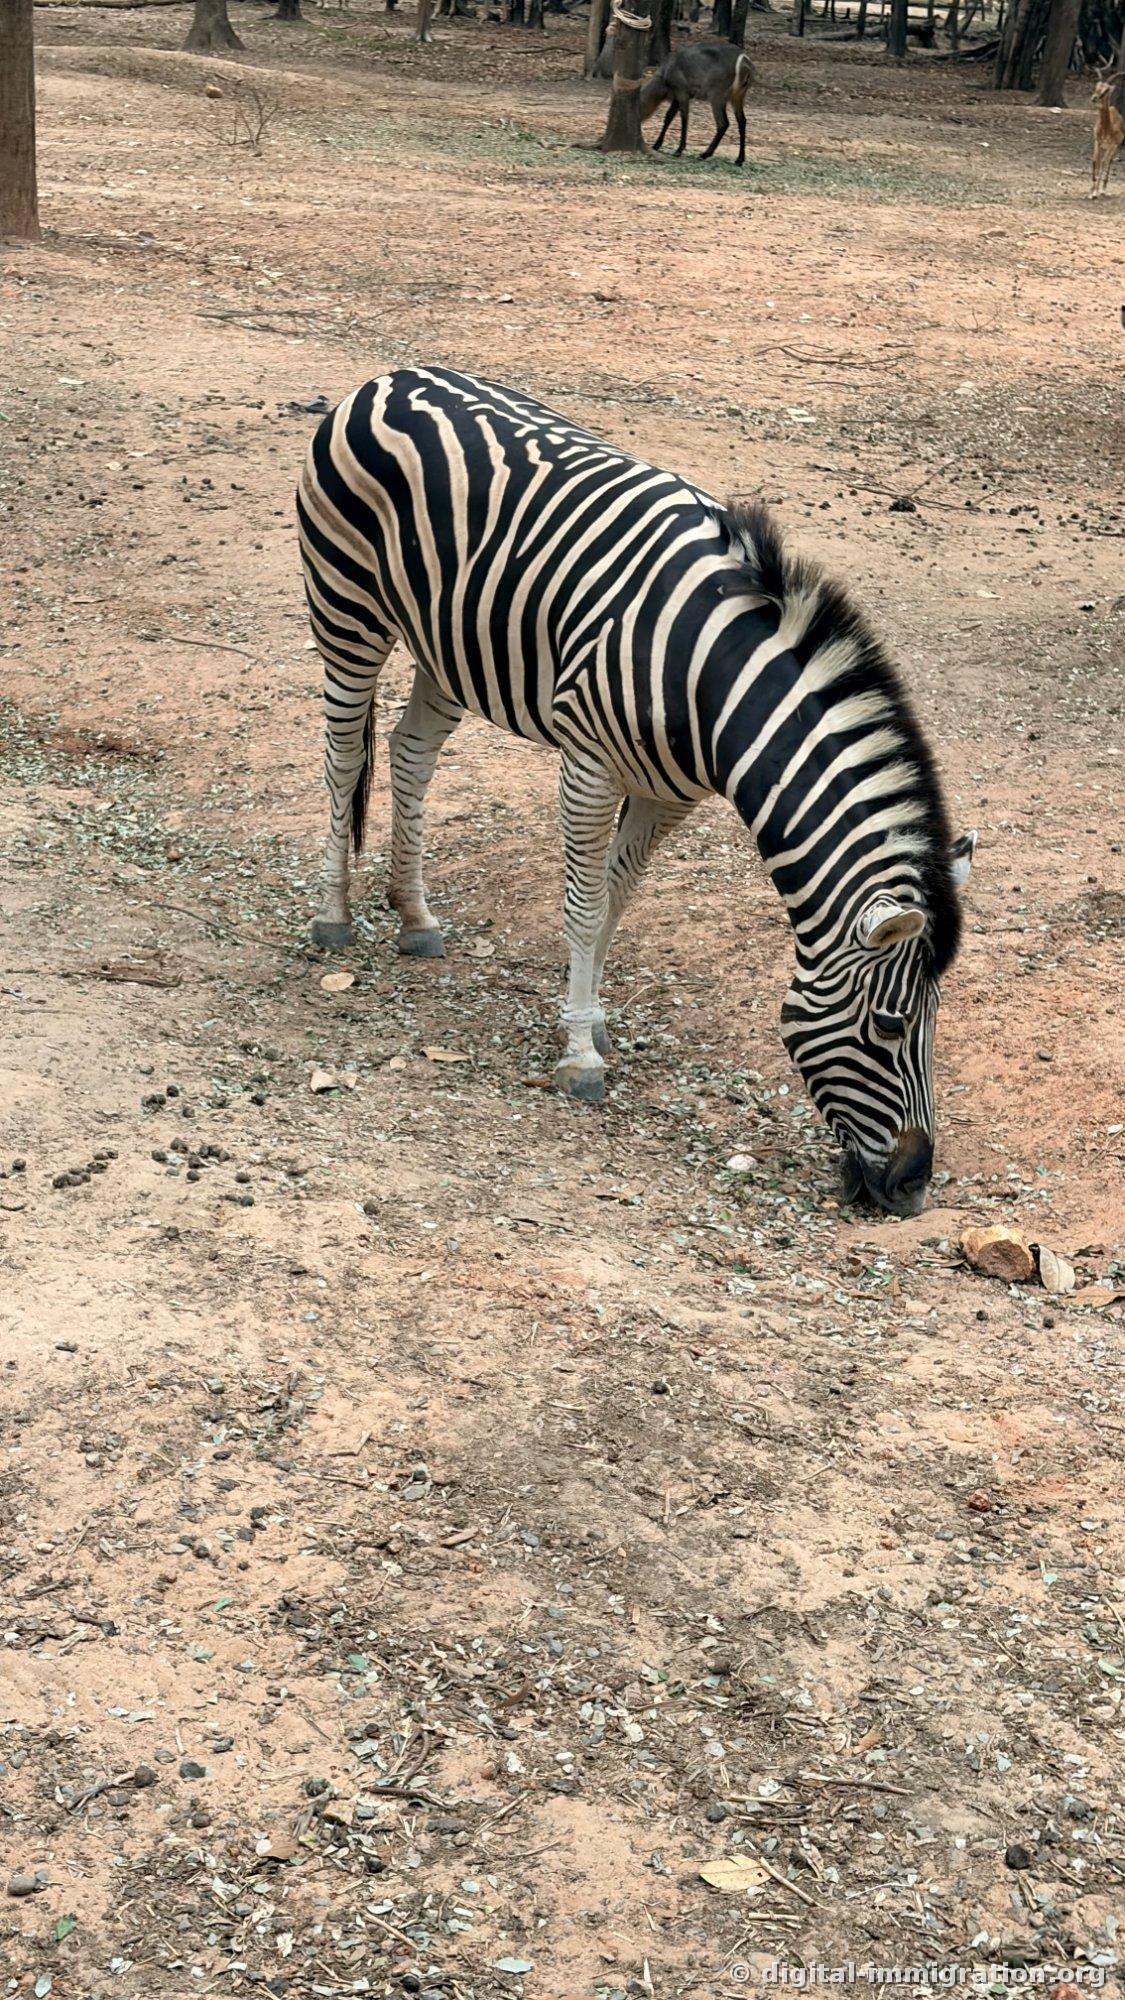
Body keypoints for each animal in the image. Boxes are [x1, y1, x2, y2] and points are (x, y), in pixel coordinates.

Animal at [297, 365, 976, 1218]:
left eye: (934, 1022)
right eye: (887, 1027)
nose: (913, 1188)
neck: (717, 687)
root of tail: (388, 376)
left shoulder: (666, 795)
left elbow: (614, 903)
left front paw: (588, 1017)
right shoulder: (588, 766)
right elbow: (584, 906)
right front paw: (580, 1055)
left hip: (448, 643)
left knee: (410, 751)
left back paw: (415, 914)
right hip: (346, 609)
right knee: (340, 755)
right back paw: (333, 913)